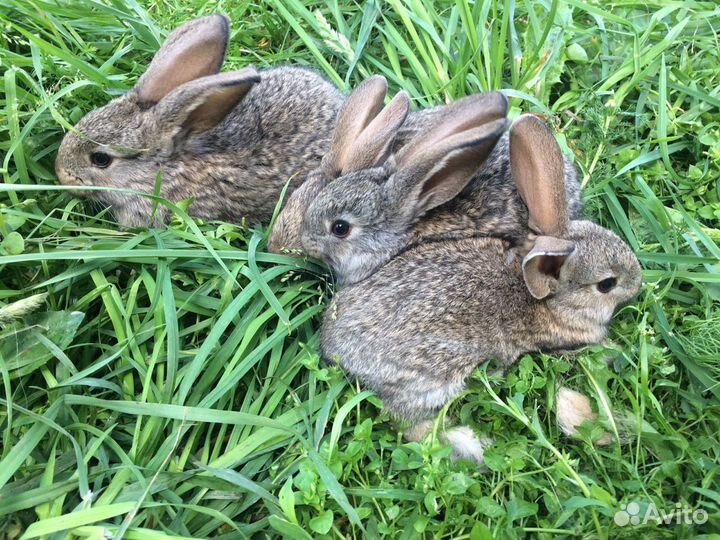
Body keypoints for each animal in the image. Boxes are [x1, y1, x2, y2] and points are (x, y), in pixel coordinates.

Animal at [303, 114, 641, 462]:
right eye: (607, 284)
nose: (638, 281)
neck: (544, 299)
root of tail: (337, 350)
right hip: (435, 376)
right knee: (407, 422)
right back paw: (473, 447)